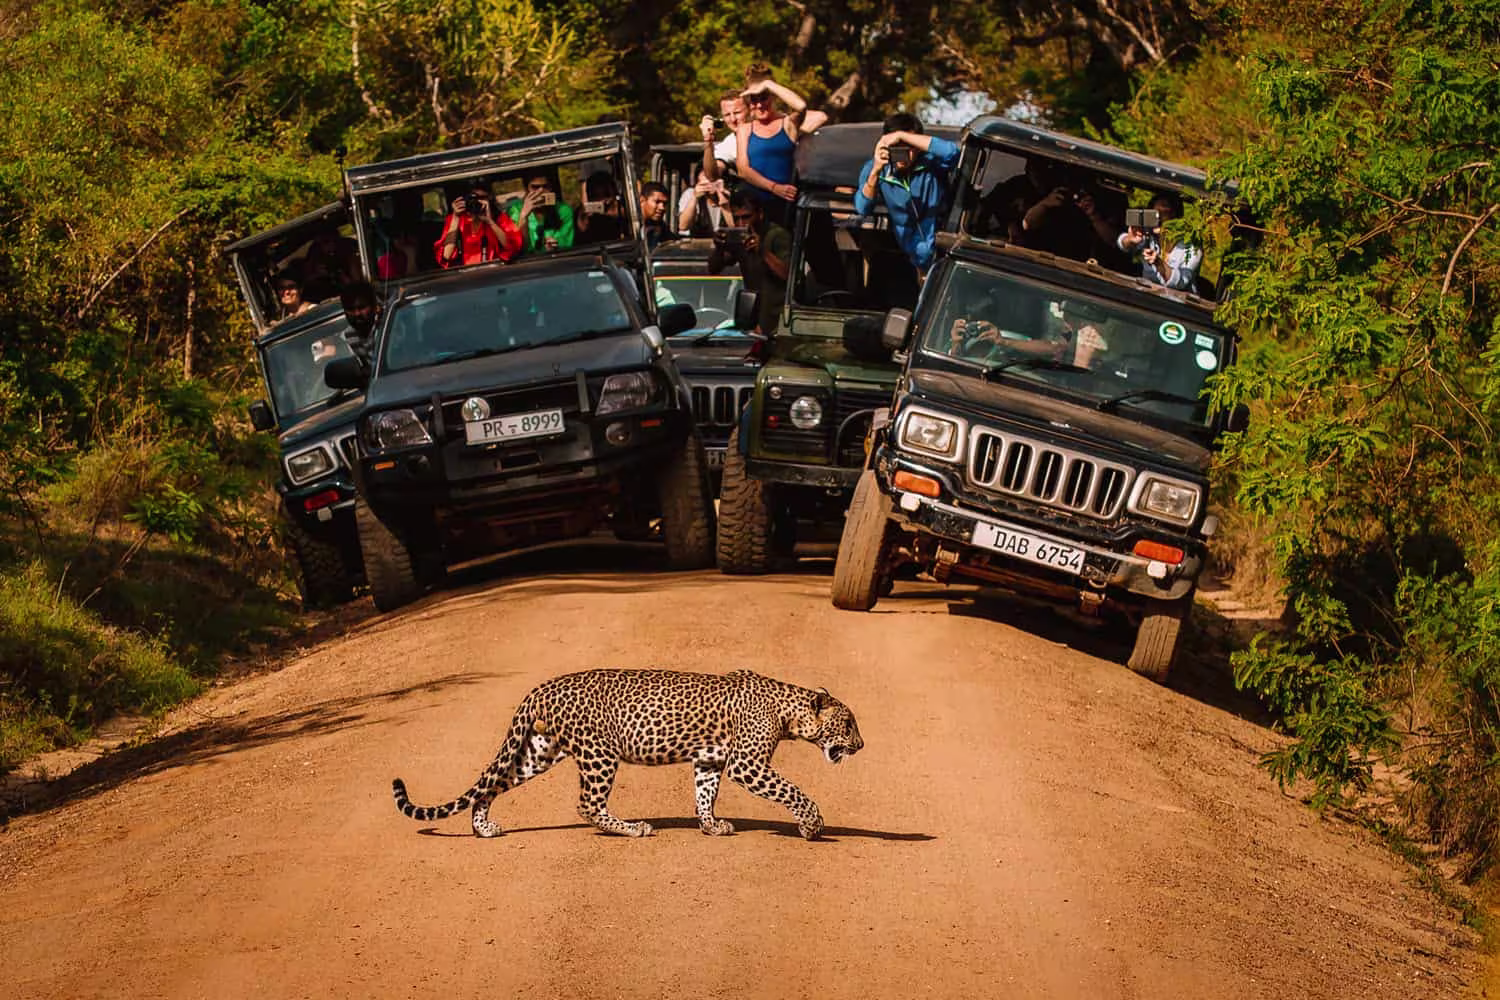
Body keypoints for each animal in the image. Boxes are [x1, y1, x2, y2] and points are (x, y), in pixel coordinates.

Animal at [391, 668, 864, 840]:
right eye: (849, 724)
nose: (861, 746)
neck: (790, 711)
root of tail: (541, 687)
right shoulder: (747, 765)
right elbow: (792, 791)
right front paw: (812, 826)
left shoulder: (709, 759)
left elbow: (704, 795)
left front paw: (711, 826)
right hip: (599, 754)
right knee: (587, 804)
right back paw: (633, 829)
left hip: (539, 751)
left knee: (493, 783)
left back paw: (484, 828)